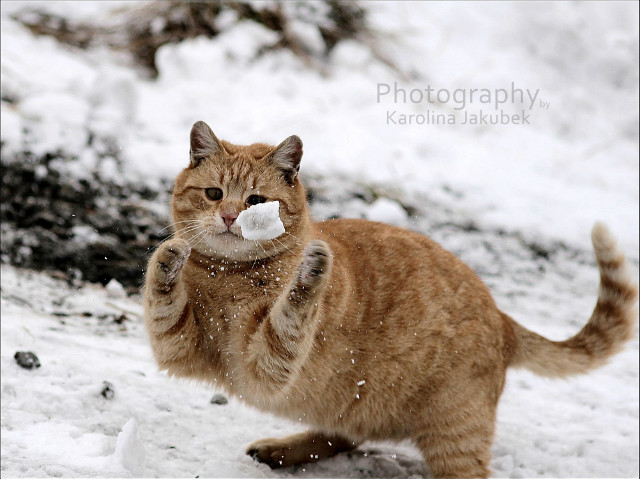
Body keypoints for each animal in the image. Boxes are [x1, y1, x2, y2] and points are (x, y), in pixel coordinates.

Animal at [142, 121, 636, 479]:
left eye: (256, 200)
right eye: (213, 194)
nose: (228, 217)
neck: (229, 277)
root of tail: (502, 317)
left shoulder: (267, 366)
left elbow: (291, 310)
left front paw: (311, 270)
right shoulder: (181, 350)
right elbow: (162, 296)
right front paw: (168, 256)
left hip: (454, 431)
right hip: (348, 401)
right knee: (344, 432)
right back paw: (283, 450)